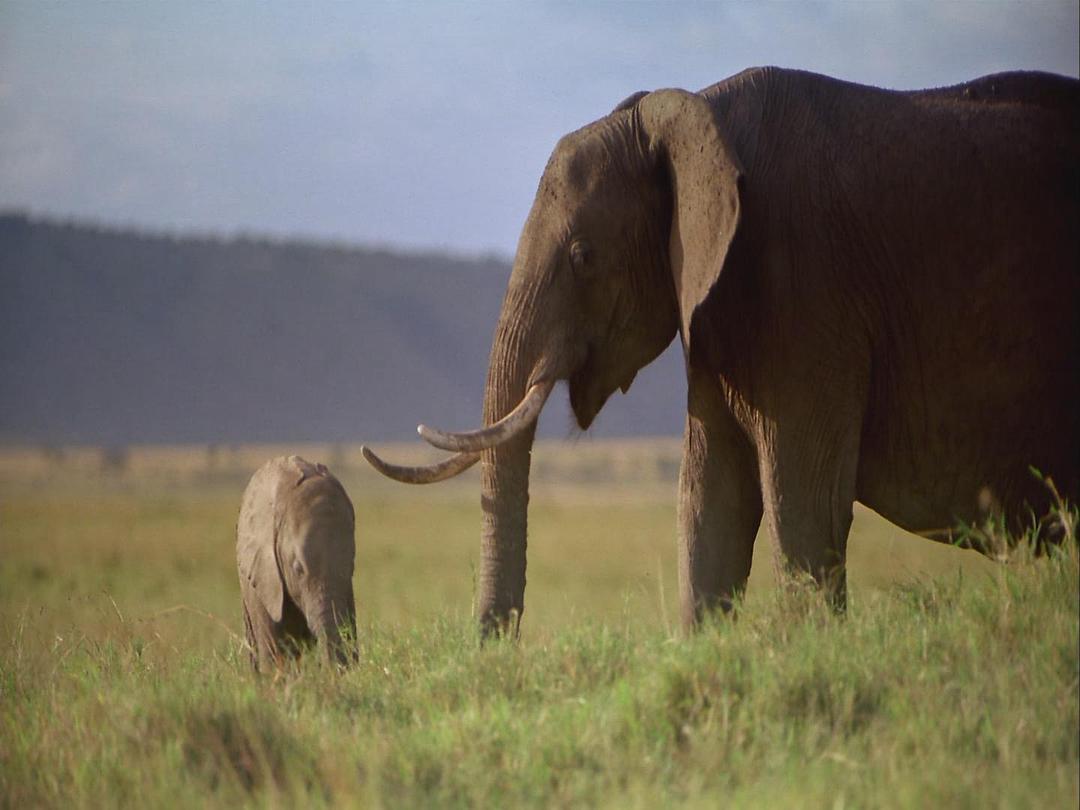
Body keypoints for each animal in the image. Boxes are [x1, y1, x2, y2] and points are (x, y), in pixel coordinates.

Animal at [365, 69, 1080, 639]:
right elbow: (711, 502)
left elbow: (804, 500)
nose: (494, 648)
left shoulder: (807, 285)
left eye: (584, 257)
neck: (691, 113)